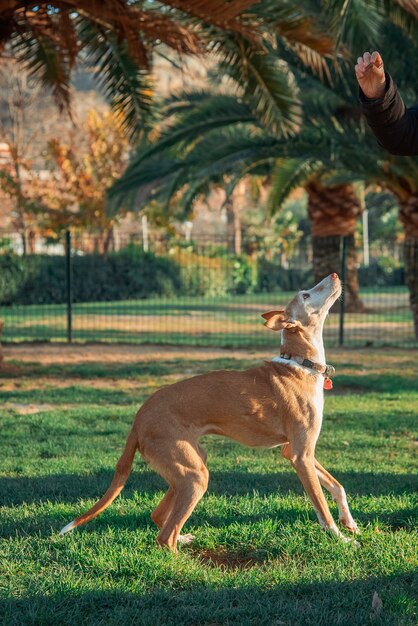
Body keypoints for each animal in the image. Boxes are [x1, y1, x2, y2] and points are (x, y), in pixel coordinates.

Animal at [59, 272, 360, 552]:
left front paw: (350, 523)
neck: (300, 364)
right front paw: (341, 539)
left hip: (190, 466)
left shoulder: (295, 451)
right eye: (306, 295)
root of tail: (139, 417)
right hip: (194, 475)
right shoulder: (300, 455)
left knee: (159, 516)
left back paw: (183, 538)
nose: (334, 275)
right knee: (164, 537)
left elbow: (338, 487)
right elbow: (321, 507)